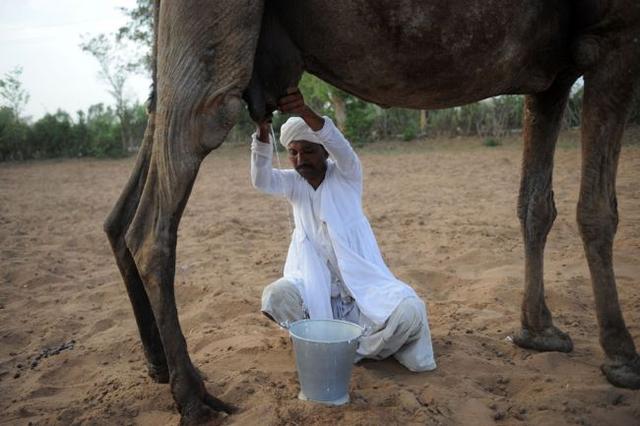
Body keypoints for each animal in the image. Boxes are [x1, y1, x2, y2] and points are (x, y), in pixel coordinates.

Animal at [102, 0, 636, 422]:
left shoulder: (551, 77)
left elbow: (535, 204)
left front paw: (539, 332)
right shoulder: (614, 33)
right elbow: (598, 209)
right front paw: (622, 356)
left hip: (169, 59)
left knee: (123, 212)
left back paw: (162, 366)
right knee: (153, 221)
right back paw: (194, 398)